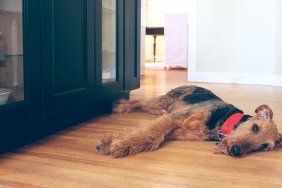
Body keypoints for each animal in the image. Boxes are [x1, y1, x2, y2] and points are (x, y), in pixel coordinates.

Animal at [95, 85, 282, 157]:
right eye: (255, 127)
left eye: (263, 146)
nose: (235, 151)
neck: (222, 121)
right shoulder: (174, 118)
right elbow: (152, 133)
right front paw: (117, 146)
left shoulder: (179, 131)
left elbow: (151, 135)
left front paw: (111, 143)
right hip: (162, 102)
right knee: (140, 102)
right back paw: (118, 106)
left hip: (160, 109)